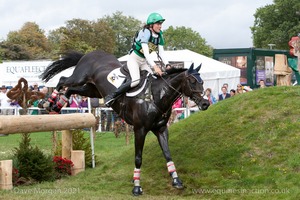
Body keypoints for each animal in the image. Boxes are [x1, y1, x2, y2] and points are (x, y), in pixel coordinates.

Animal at [39, 50, 210, 195]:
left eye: (202, 81)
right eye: (192, 81)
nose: (205, 103)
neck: (156, 96)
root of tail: (90, 53)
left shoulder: (161, 129)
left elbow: (167, 154)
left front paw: (176, 180)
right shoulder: (140, 129)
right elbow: (138, 158)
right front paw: (137, 187)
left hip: (93, 90)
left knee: (71, 90)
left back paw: (58, 104)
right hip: (80, 77)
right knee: (63, 80)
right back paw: (48, 102)